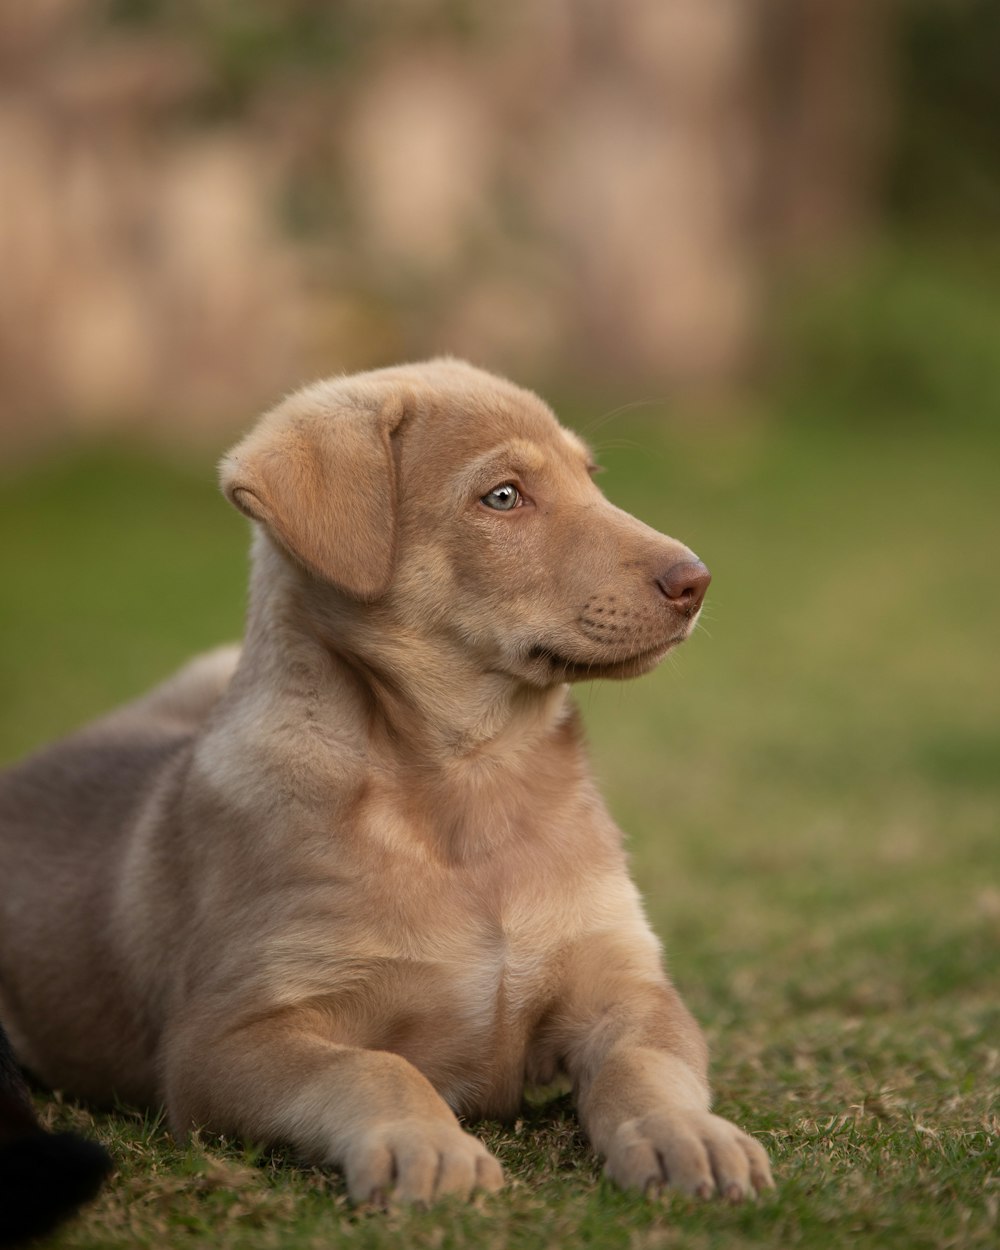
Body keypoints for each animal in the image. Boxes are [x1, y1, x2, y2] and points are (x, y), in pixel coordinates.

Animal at [0, 360, 775, 1200]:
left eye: (590, 478)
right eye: (504, 496)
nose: (696, 582)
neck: (472, 782)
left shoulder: (626, 985)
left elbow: (647, 1065)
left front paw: (686, 1133)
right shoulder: (223, 1041)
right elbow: (375, 1068)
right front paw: (425, 1144)